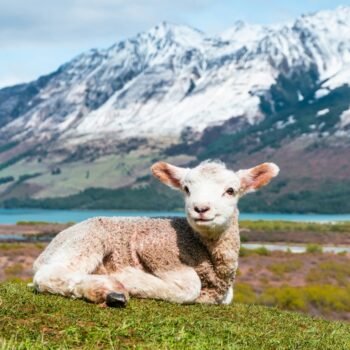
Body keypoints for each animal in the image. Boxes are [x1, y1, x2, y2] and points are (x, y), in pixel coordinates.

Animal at [32, 159, 278, 306]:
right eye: (186, 189)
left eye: (230, 191)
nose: (200, 209)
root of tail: (45, 252)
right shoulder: (154, 246)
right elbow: (189, 287)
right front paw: (129, 277)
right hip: (87, 240)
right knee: (49, 275)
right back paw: (107, 289)